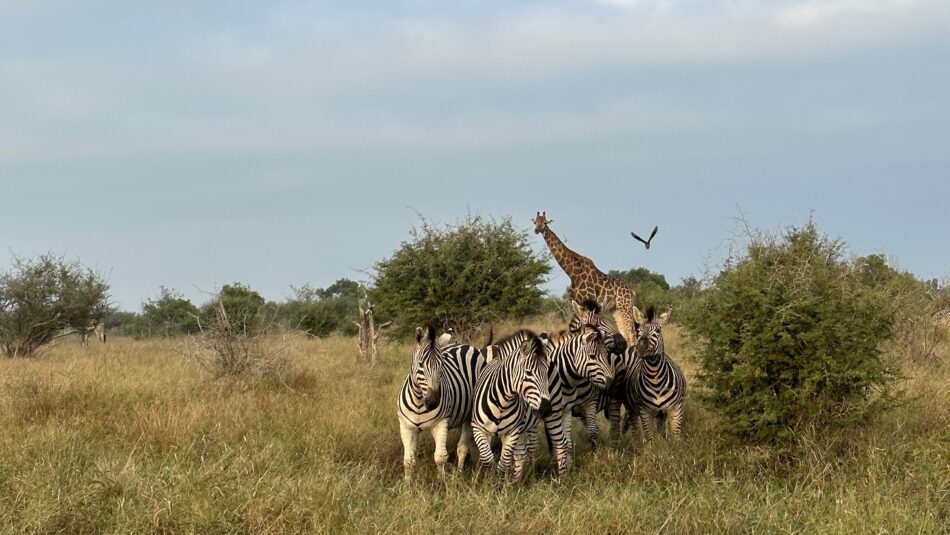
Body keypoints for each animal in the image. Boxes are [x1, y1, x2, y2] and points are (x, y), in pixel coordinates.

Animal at [396, 324, 484, 480]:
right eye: (420, 364)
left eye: (442, 365)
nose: (433, 402)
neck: (419, 402)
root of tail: (465, 345)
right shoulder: (406, 427)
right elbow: (408, 461)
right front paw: (407, 484)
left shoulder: (441, 423)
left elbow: (440, 457)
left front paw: (442, 482)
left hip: (470, 415)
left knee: (463, 447)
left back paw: (460, 474)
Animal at [472, 330, 556, 482]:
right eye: (528, 373)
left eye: (546, 372)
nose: (546, 408)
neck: (502, 403)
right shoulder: (478, 429)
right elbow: (488, 460)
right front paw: (489, 481)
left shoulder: (513, 432)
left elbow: (503, 463)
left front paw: (499, 483)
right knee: (520, 453)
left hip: (531, 425)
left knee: (529, 452)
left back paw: (521, 479)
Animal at [532, 211, 644, 342]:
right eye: (535, 222)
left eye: (545, 222)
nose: (537, 230)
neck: (572, 273)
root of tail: (632, 291)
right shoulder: (574, 303)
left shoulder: (587, 302)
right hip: (617, 309)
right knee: (625, 333)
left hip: (625, 307)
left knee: (631, 334)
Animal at [540, 300, 612, 480]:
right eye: (592, 357)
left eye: (602, 323)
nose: (610, 382)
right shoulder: (556, 411)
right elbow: (559, 440)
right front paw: (562, 466)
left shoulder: (588, 403)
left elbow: (592, 432)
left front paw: (594, 459)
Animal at [624, 306, 684, 440]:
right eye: (639, 330)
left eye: (657, 330)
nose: (640, 348)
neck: (655, 379)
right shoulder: (645, 412)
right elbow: (650, 438)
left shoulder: (675, 410)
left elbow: (676, 437)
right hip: (631, 408)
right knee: (632, 426)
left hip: (662, 414)